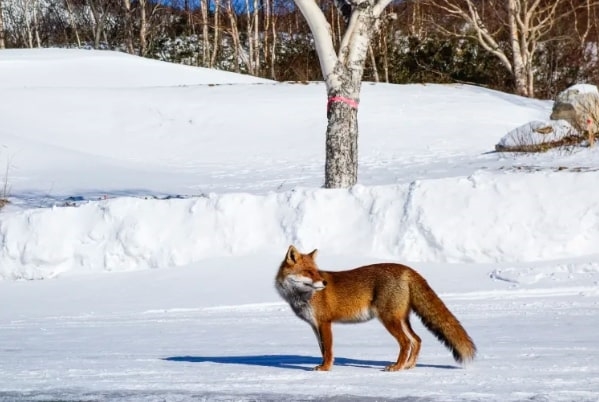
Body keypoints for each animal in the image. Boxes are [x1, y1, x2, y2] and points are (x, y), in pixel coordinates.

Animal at [276, 247, 478, 372]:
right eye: (308, 272)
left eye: (317, 271)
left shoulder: (325, 323)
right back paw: (408, 366)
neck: (303, 297)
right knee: (417, 340)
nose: (324, 283)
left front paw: (325, 368)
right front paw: (322, 365)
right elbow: (323, 350)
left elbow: (329, 351)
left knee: (406, 342)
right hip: (401, 319)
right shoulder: (315, 325)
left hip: (389, 319)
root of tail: (407, 269)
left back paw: (396, 367)